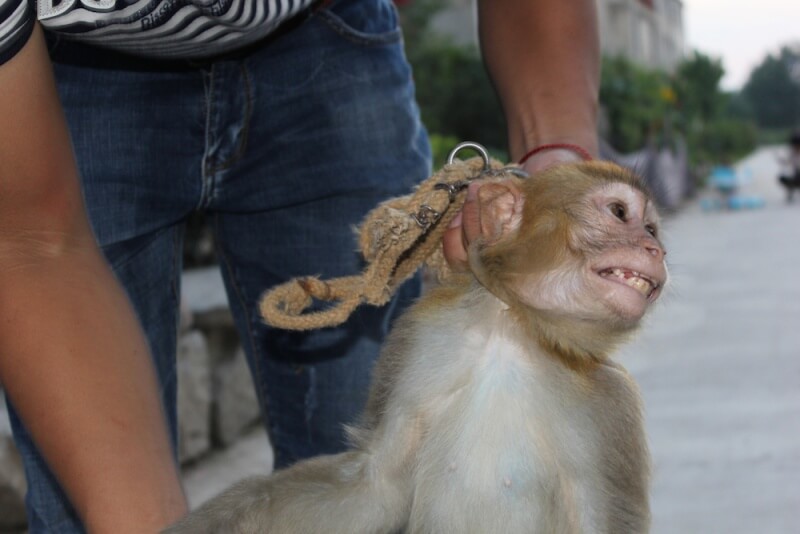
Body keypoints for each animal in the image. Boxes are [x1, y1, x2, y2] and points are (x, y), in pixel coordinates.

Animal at [167, 161, 668, 532]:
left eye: (651, 228)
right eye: (619, 212)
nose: (655, 250)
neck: (512, 332)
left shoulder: (610, 406)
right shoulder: (421, 337)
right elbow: (375, 485)